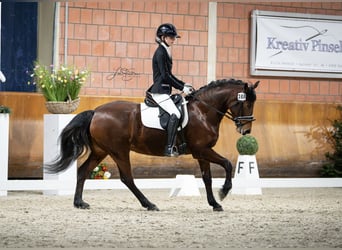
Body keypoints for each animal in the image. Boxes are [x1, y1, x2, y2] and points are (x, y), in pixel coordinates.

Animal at [45, 78, 260, 211]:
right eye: (246, 103)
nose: (246, 131)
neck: (203, 111)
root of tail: (96, 112)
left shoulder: (201, 153)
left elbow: (207, 178)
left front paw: (215, 203)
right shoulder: (202, 149)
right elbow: (228, 164)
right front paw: (224, 191)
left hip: (101, 151)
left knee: (83, 171)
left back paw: (79, 202)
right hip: (118, 151)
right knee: (127, 178)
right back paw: (149, 204)